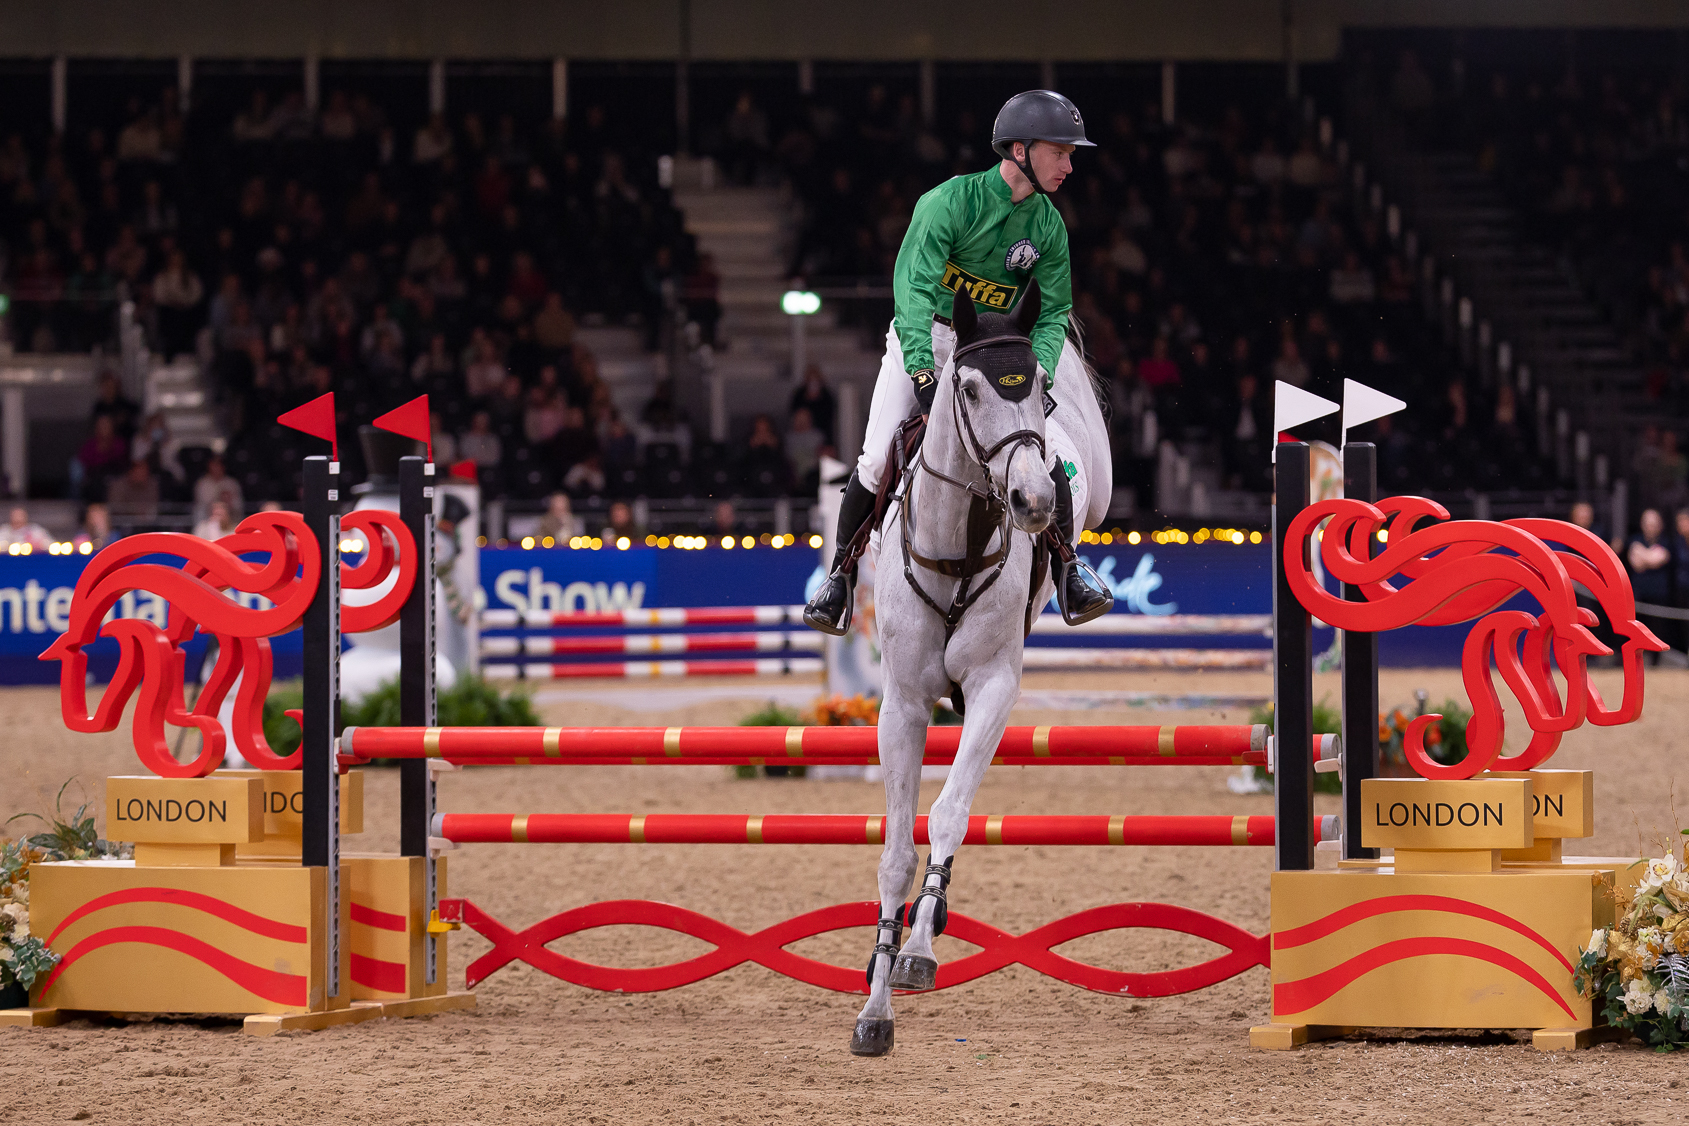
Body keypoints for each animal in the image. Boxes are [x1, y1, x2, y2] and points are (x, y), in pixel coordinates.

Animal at [850, 279, 1113, 1055]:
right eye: (967, 388)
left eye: (1035, 388)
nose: (1031, 501)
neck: (958, 542)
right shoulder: (904, 704)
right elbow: (896, 850)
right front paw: (875, 1007)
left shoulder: (994, 688)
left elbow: (948, 813)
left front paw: (916, 951)